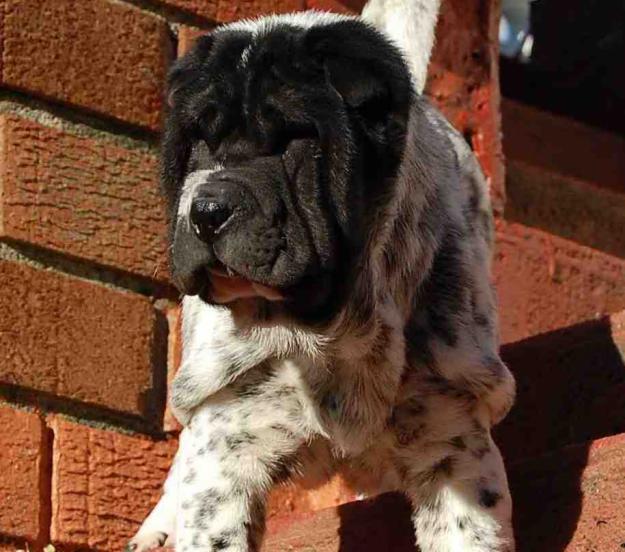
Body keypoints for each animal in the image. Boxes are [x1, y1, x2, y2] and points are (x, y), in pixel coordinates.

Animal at [124, 2, 516, 548]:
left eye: (295, 139)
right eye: (197, 140)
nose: (207, 210)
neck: (331, 334)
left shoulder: (453, 436)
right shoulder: (226, 442)